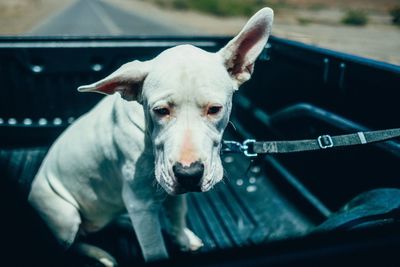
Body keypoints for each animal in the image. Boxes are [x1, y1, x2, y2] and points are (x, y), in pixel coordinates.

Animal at [28, 7, 272, 266]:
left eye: (215, 109)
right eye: (160, 110)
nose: (189, 174)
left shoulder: (170, 189)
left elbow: (177, 212)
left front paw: (182, 237)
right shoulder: (140, 203)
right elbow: (155, 248)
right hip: (65, 217)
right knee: (70, 245)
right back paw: (101, 254)